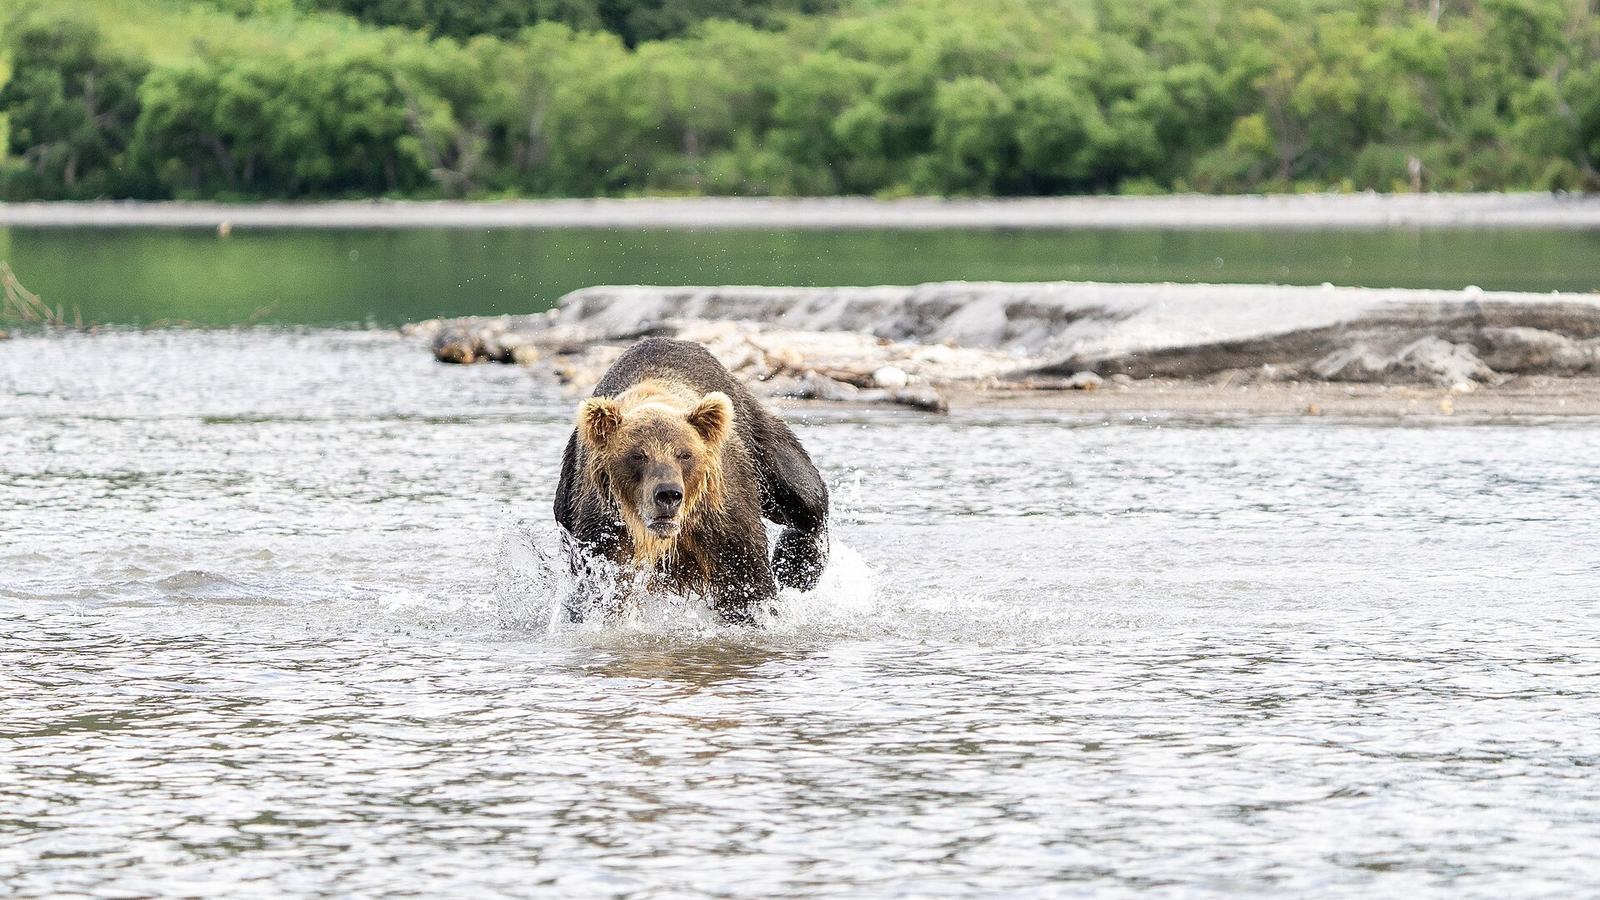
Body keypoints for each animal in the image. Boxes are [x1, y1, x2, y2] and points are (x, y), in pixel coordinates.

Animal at [553, 338, 830, 624]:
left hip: (754, 435)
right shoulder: (605, 526)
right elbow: (601, 587)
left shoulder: (721, 512)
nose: (668, 494)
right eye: (638, 455)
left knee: (802, 491)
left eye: (684, 454)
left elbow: (746, 578)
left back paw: (795, 566)